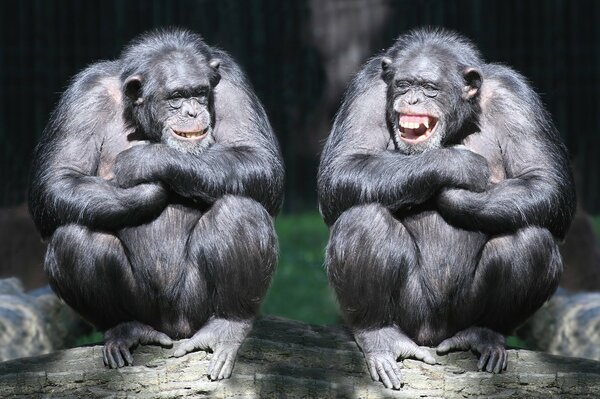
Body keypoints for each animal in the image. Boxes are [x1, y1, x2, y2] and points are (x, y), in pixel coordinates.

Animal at [27, 28, 282, 382]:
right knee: (73, 237)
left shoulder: (231, 81)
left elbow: (257, 157)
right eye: (176, 96)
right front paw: (147, 192)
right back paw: (124, 329)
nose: (192, 112)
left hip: (193, 308)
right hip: (145, 309)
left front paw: (147, 160)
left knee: (240, 211)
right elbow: (57, 178)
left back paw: (227, 326)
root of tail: (172, 328)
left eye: (200, 93)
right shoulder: (83, 95)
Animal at [318, 28, 576, 390]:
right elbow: (343, 166)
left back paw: (485, 334)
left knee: (532, 238)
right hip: (412, 315)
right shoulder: (367, 87)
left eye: (429, 88)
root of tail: (434, 335)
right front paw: (457, 165)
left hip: (462, 314)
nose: (412, 100)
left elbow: (546, 181)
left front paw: (457, 197)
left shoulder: (517, 97)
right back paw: (379, 335)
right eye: (403, 85)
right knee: (362, 219)